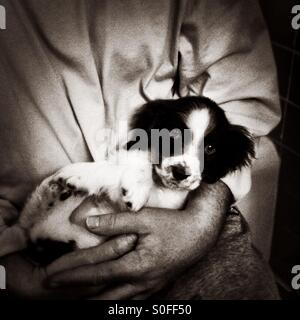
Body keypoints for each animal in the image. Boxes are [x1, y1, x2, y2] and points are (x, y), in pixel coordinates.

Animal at [0, 95, 254, 262]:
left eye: (210, 149)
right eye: (172, 135)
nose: (180, 173)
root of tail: (33, 236)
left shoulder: (162, 202)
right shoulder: (132, 153)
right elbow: (137, 157)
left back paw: (56, 191)